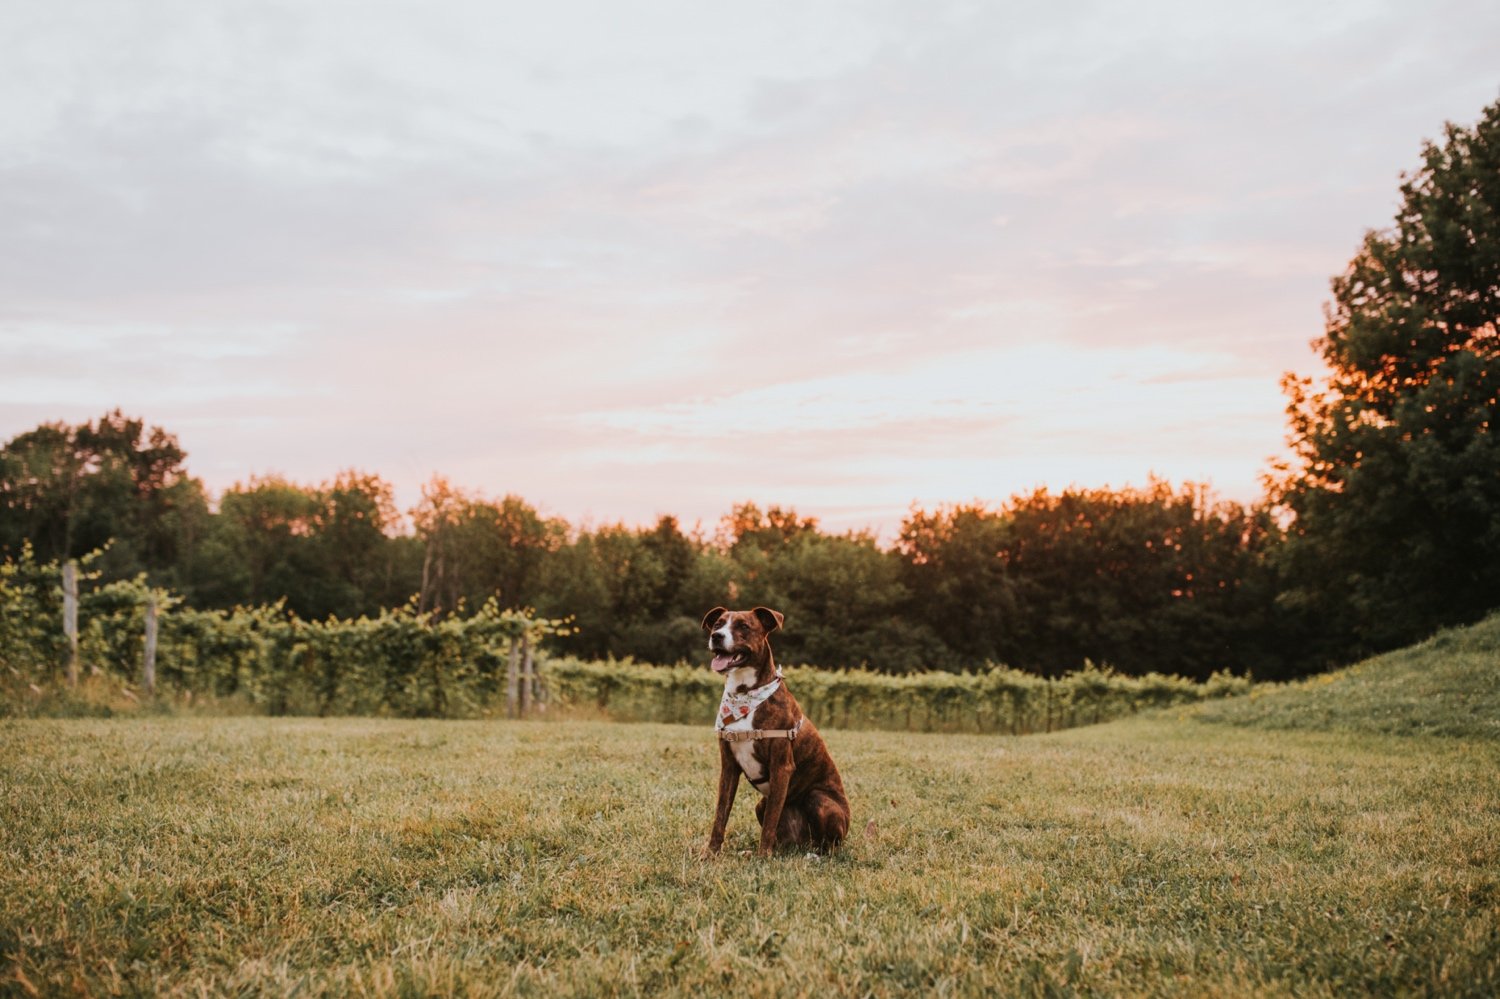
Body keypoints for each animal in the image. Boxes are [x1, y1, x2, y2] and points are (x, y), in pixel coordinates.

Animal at [699, 603, 852, 852]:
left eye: (744, 626)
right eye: (718, 624)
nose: (717, 636)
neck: (744, 693)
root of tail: (805, 844)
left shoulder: (782, 766)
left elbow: (770, 824)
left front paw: (763, 857)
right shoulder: (729, 768)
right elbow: (720, 815)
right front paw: (710, 853)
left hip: (819, 800)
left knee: (830, 844)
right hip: (761, 804)